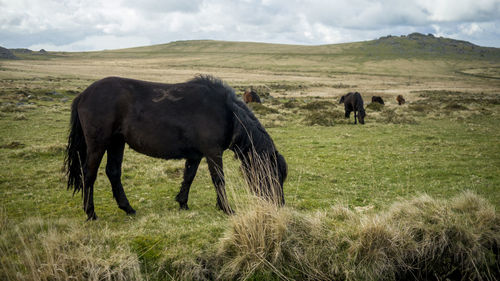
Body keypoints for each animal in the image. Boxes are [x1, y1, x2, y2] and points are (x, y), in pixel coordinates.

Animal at [64, 75, 288, 220]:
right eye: (272, 174)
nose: (279, 204)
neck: (226, 112)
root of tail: (83, 95)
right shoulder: (213, 153)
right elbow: (219, 180)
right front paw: (226, 208)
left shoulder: (196, 155)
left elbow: (188, 177)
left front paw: (182, 202)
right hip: (99, 143)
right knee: (89, 174)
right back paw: (91, 213)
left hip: (116, 142)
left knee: (113, 172)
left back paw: (128, 209)